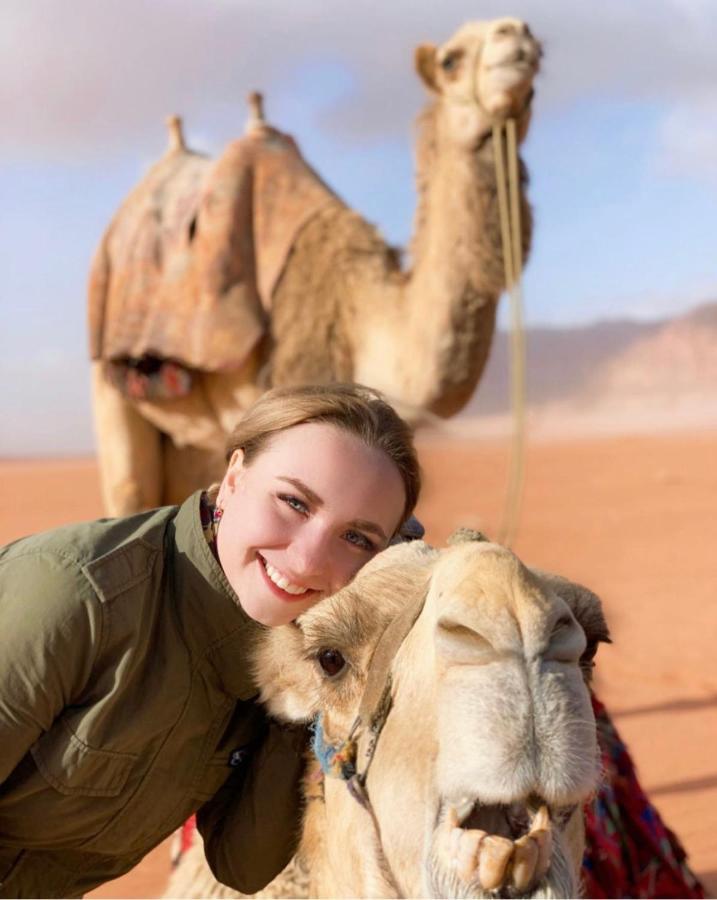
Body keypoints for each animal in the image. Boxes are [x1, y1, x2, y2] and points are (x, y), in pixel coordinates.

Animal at [86, 17, 540, 516]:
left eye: (535, 50)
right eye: (450, 60)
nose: (515, 33)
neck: (355, 315)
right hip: (109, 381)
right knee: (130, 487)